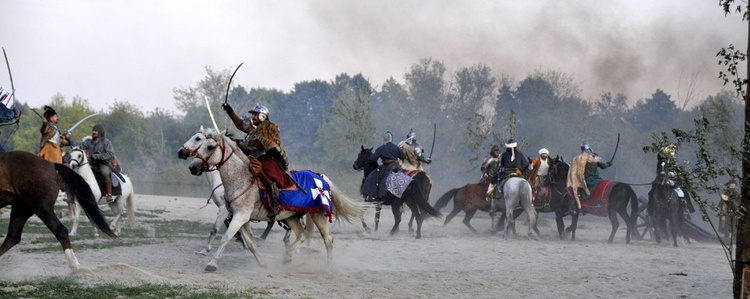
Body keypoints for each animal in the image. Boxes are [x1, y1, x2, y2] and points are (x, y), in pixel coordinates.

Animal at [185, 127, 368, 272]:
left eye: (210, 146)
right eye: (200, 144)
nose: (193, 167)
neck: (240, 178)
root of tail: (322, 178)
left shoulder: (240, 216)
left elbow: (225, 238)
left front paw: (212, 264)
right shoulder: (239, 217)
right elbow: (249, 243)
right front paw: (262, 263)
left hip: (317, 215)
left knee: (328, 239)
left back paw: (328, 266)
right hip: (292, 216)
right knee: (301, 235)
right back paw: (287, 257)